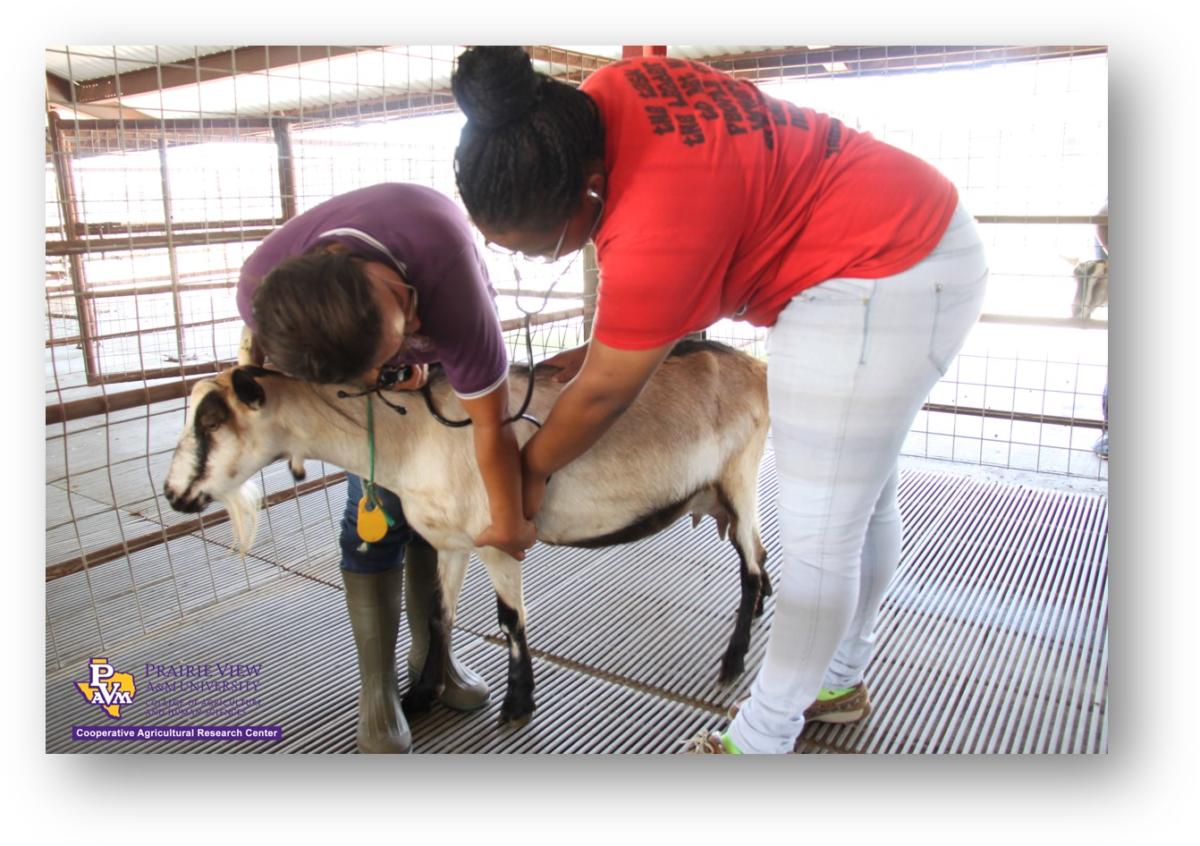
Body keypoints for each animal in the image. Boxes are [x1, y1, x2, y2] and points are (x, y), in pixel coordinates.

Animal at [163, 340, 771, 727]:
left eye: (212, 420)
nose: (173, 494)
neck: (412, 436)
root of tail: (755, 367)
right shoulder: (448, 541)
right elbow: (436, 613)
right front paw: (419, 697)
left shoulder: (499, 538)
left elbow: (509, 620)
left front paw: (517, 705)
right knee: (760, 559)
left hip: (740, 475)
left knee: (751, 567)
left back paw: (733, 662)